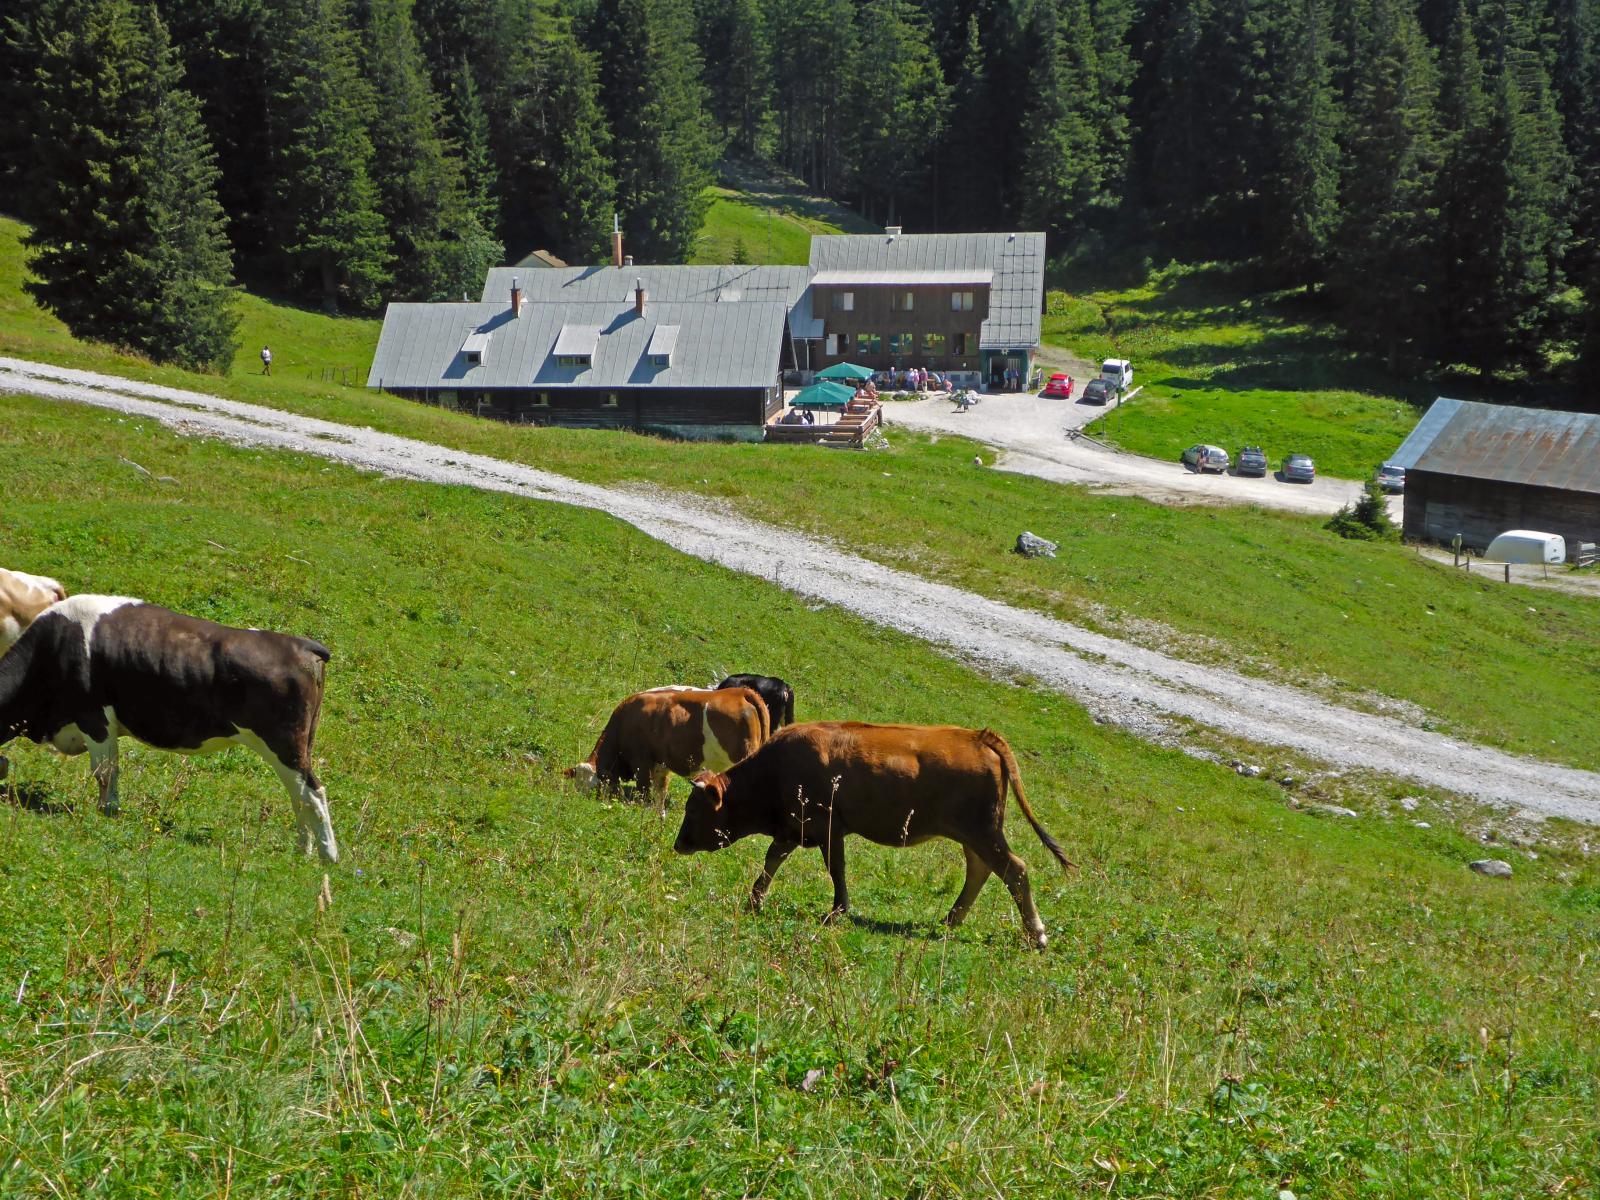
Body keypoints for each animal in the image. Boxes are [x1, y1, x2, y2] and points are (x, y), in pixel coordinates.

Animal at [0, 595, 337, 857]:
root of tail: (301, 645)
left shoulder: (94, 718)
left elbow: (104, 772)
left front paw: (106, 811)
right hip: (296, 746)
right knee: (299, 795)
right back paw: (303, 849)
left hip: (284, 744)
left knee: (314, 792)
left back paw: (326, 856)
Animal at [572, 684, 771, 809]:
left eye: (594, 788)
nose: (582, 805)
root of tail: (740, 692)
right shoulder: (661, 766)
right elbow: (659, 795)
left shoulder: (642, 763)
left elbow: (644, 793)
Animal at [675, 723, 1075, 947]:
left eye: (692, 810)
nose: (678, 844)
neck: (774, 770)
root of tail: (978, 737)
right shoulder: (794, 827)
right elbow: (772, 859)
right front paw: (755, 899)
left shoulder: (826, 827)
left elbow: (835, 869)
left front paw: (837, 910)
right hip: (973, 835)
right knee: (981, 870)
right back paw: (951, 920)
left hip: (983, 832)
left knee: (1014, 870)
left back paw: (1036, 934)